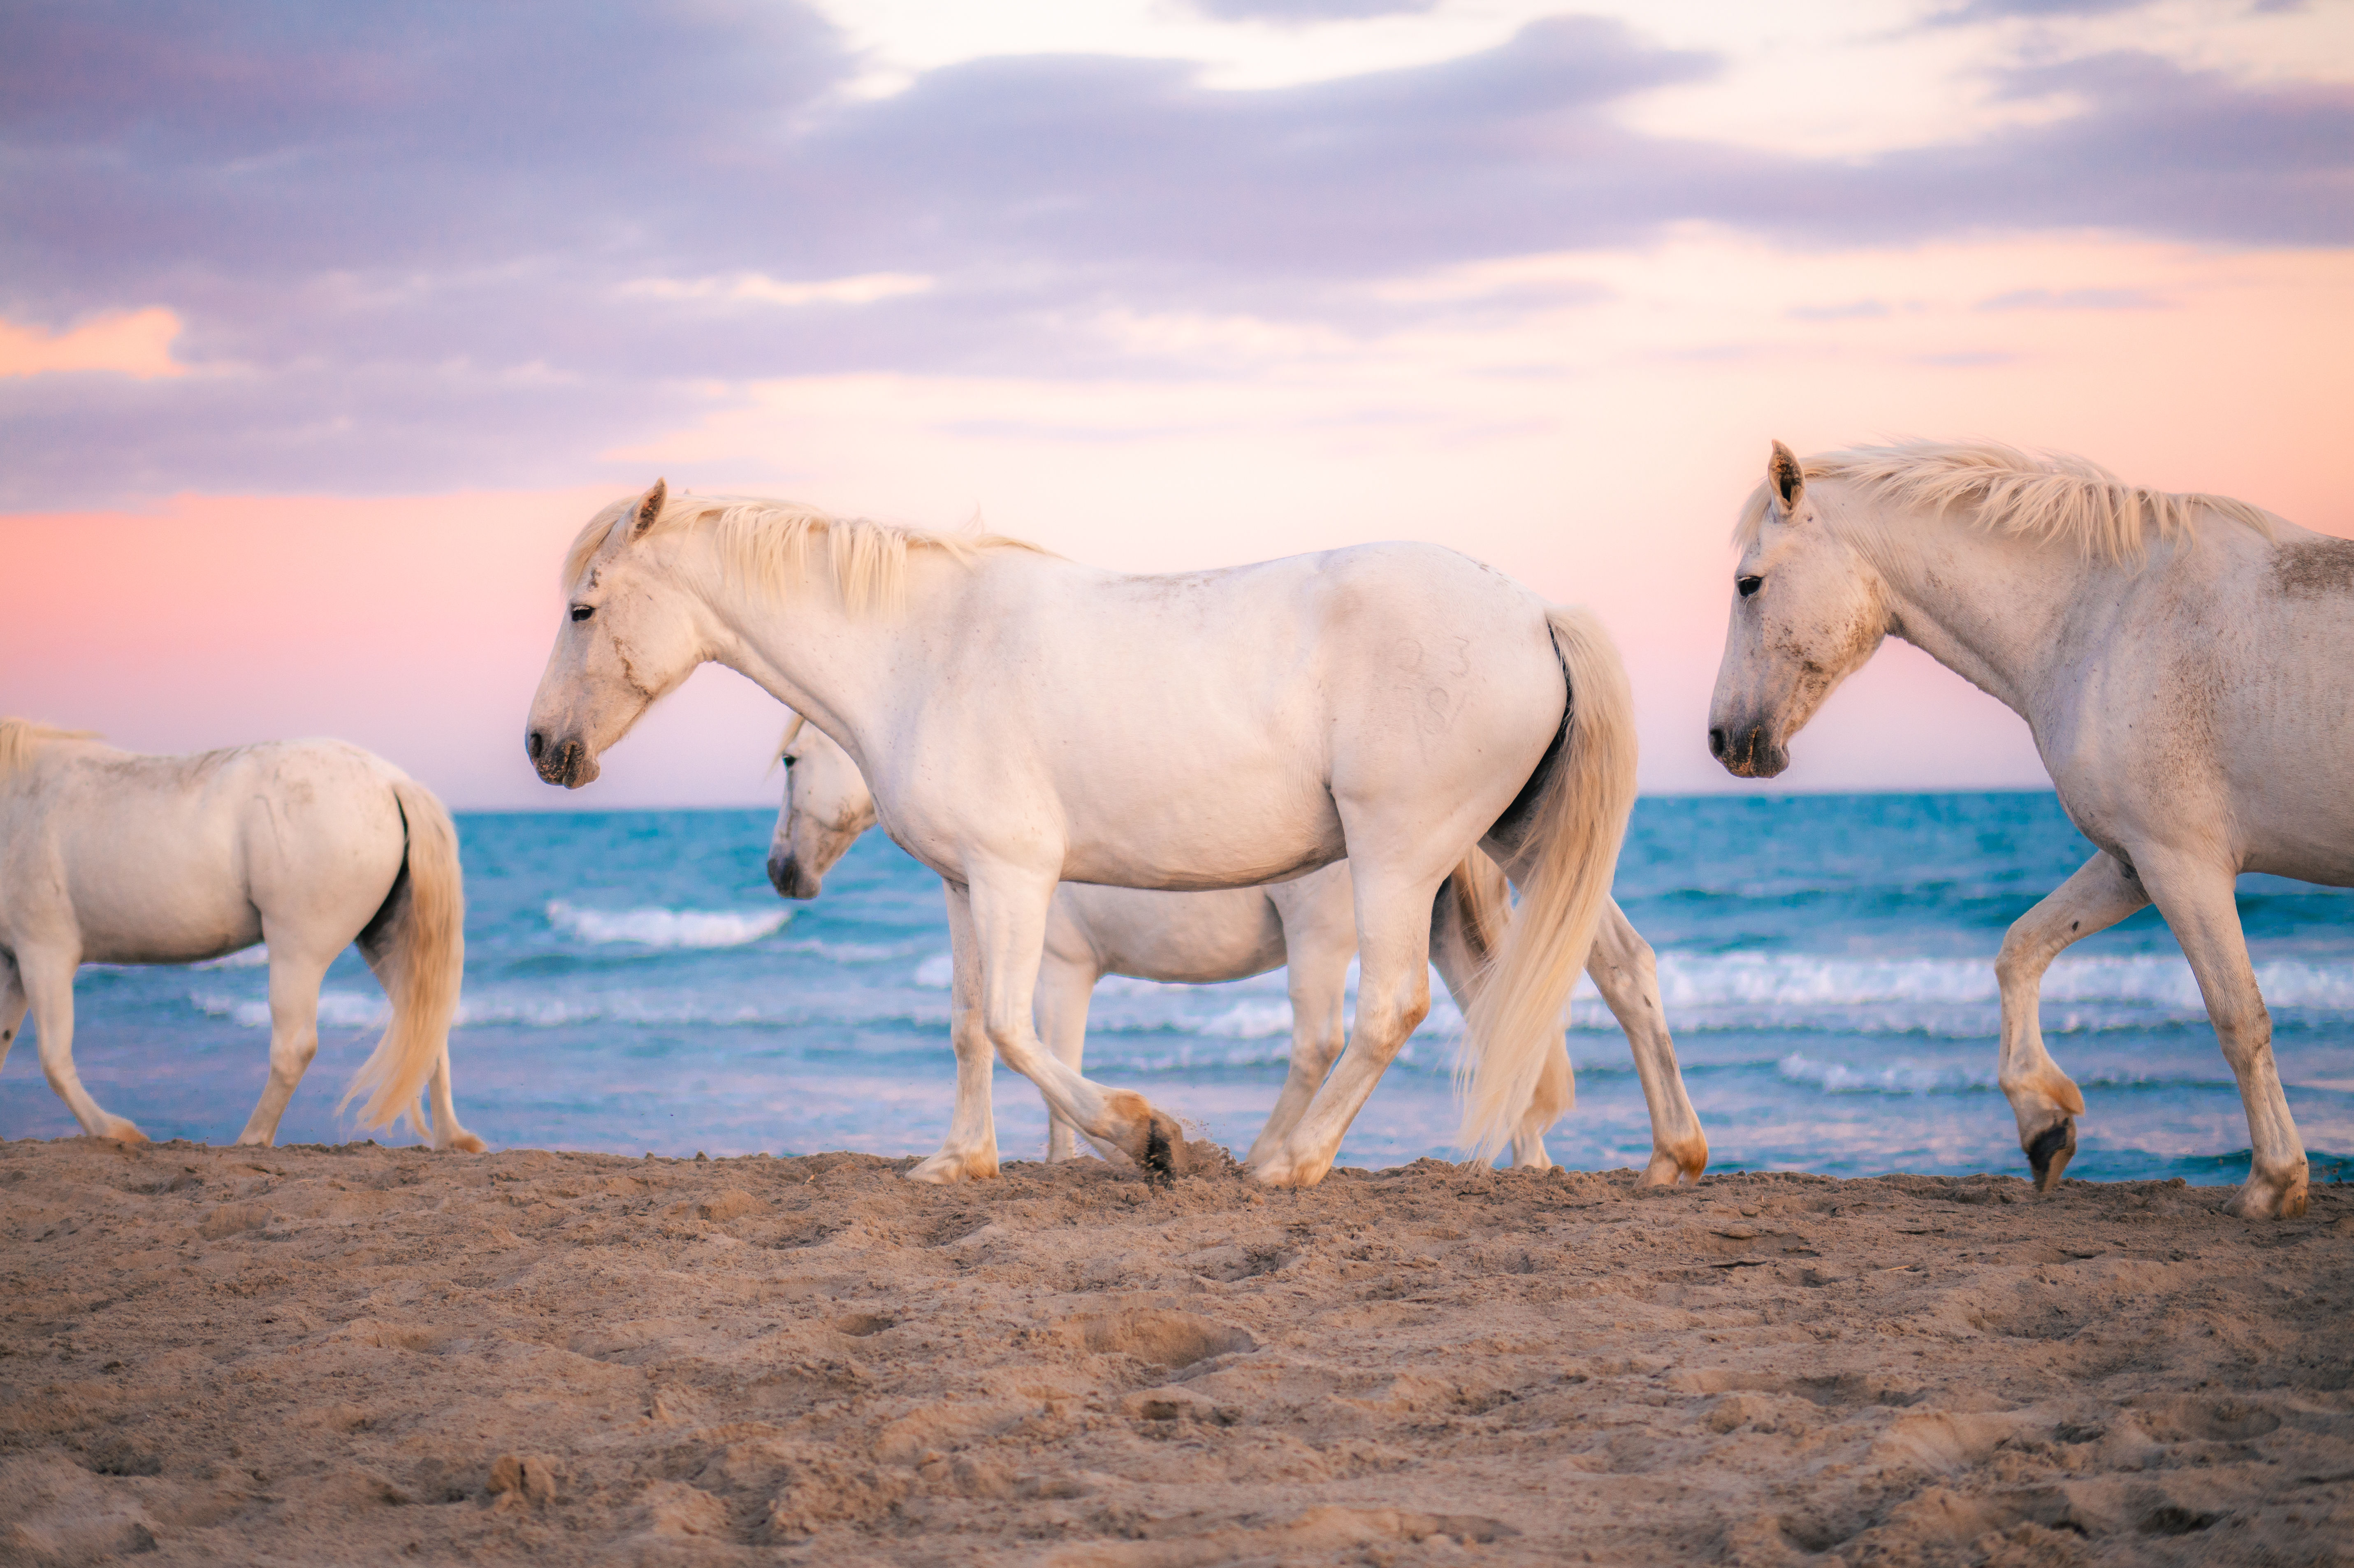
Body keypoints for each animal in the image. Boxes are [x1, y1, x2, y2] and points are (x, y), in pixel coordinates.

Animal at [0, 721, 482, 1151]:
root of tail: (391, 781)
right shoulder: (14, 962)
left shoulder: (44, 951)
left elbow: (54, 1059)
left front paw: (115, 1131)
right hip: (385, 941)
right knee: (425, 1028)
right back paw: (451, 1138)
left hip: (297, 952)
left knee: (294, 1047)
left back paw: (252, 1139)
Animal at [766, 714, 1708, 1181]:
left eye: (788, 760)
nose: (781, 871)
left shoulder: (1065, 969)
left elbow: (1051, 1059)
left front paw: (1095, 1152)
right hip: (1437, 926)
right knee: (1499, 1017)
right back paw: (1530, 1158)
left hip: (1330, 937)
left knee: (1322, 1041)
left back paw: (1273, 1159)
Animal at [1707, 441, 2351, 1220]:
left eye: (1747, 584)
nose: (1721, 738)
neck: (2107, 617)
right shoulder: (2133, 861)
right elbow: (2020, 949)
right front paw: (2043, 1124)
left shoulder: (2182, 864)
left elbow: (2239, 1019)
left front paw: (2272, 1182)